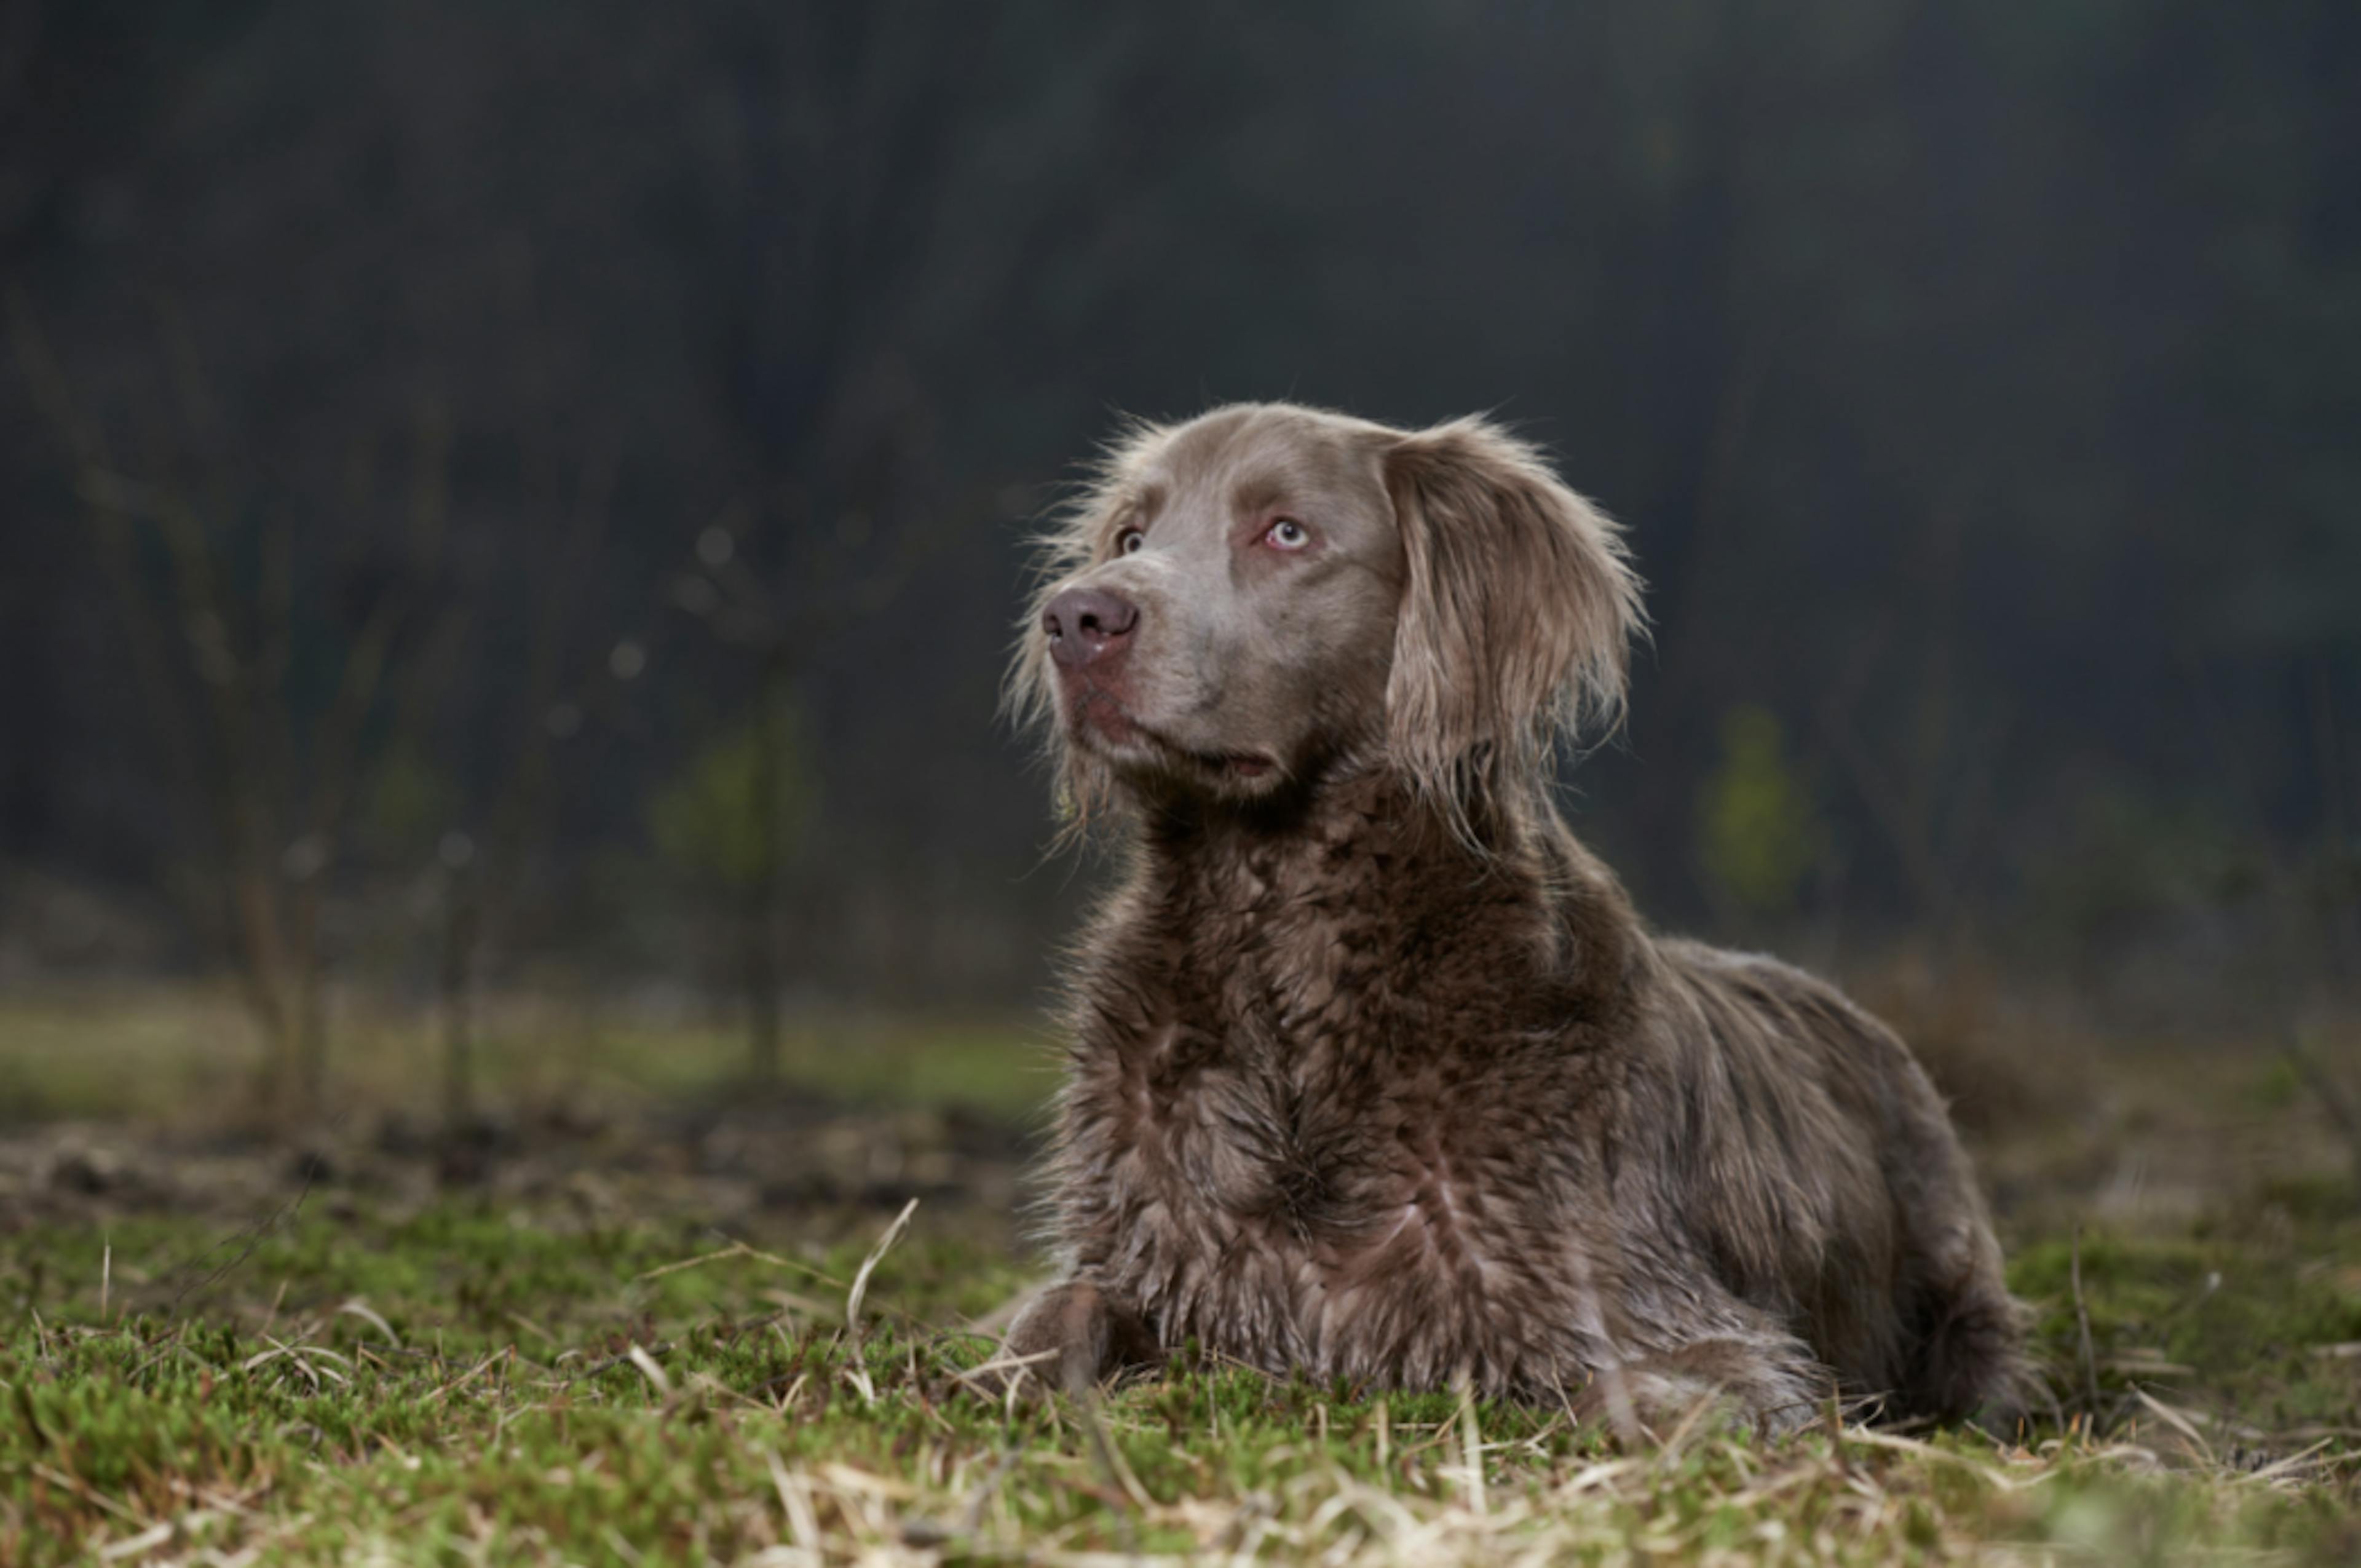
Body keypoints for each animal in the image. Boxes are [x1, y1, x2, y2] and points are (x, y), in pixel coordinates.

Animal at [996, 403, 2030, 1435]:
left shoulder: (1695, 1329)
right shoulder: (1155, 1256)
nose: (1076, 617)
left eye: (1286, 532)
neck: (1290, 960)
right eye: (1133, 538)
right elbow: (1051, 1316)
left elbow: (1617, 1393)